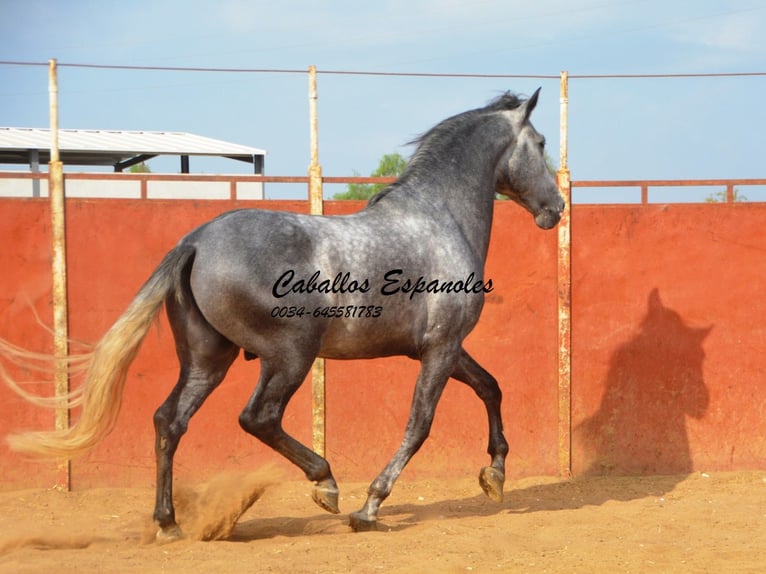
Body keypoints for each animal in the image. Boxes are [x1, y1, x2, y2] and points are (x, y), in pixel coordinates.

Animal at [4, 88, 564, 538]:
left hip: (208, 359)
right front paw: (369, 507)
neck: (438, 219)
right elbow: (420, 423)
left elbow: (491, 387)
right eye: (540, 143)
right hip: (290, 355)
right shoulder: (440, 349)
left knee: (169, 420)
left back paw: (168, 524)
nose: (556, 209)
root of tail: (195, 242)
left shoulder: (441, 348)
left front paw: (495, 476)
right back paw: (326, 484)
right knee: (258, 417)